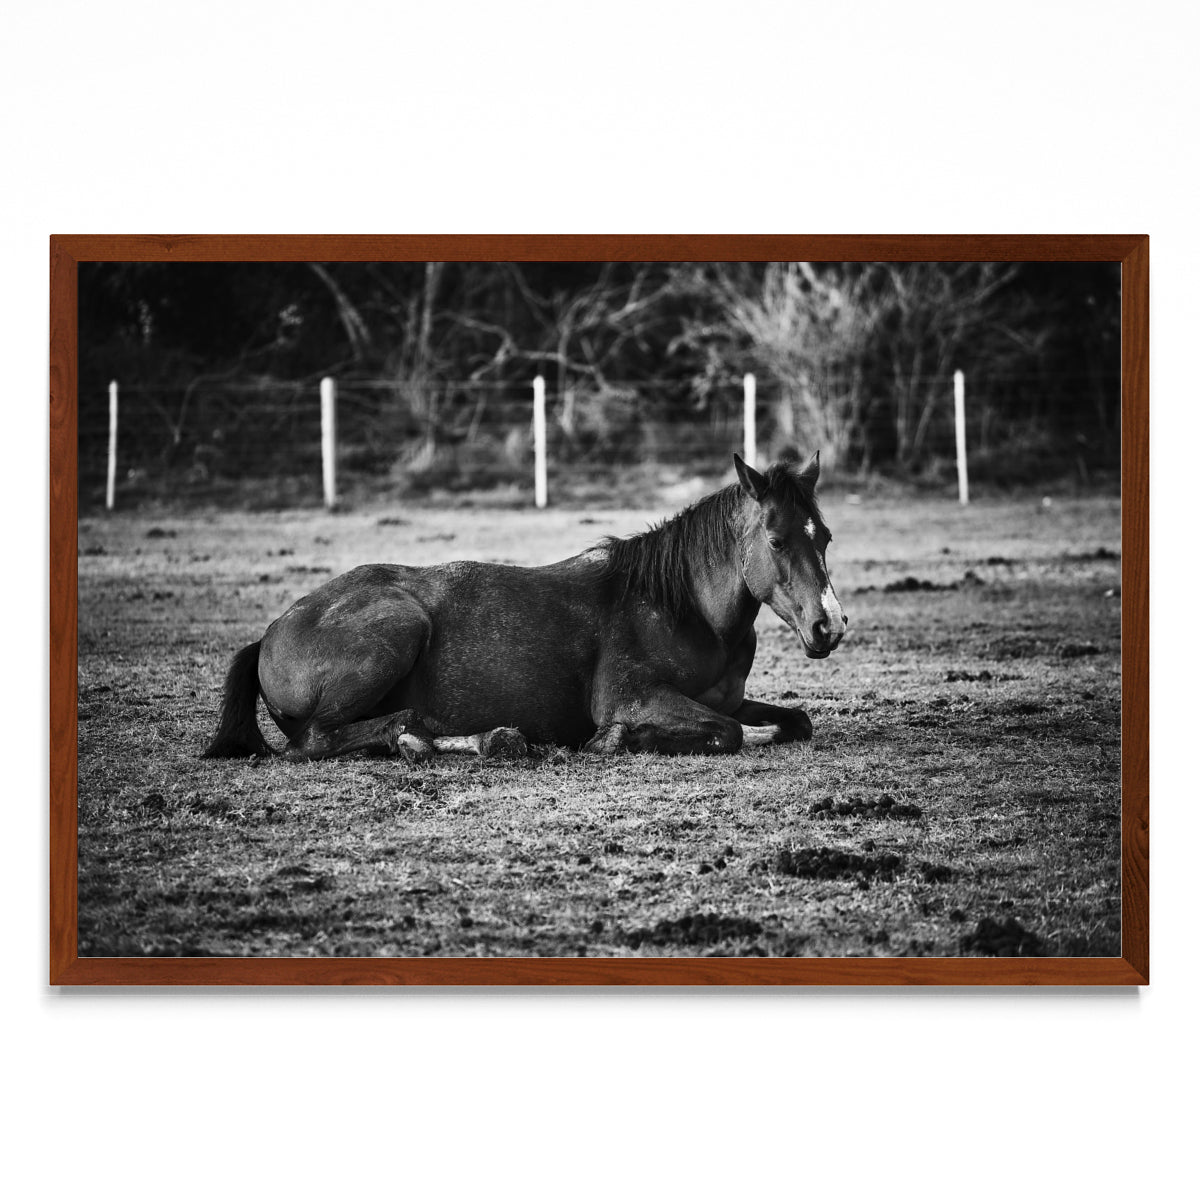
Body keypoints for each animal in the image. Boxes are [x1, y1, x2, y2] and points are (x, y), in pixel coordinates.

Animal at [202, 452, 847, 762]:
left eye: (825, 536)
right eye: (776, 540)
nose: (830, 626)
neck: (683, 610)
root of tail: (271, 632)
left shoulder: (729, 699)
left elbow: (793, 720)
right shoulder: (632, 697)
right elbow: (727, 733)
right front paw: (615, 740)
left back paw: (476, 741)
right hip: (398, 627)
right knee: (317, 740)